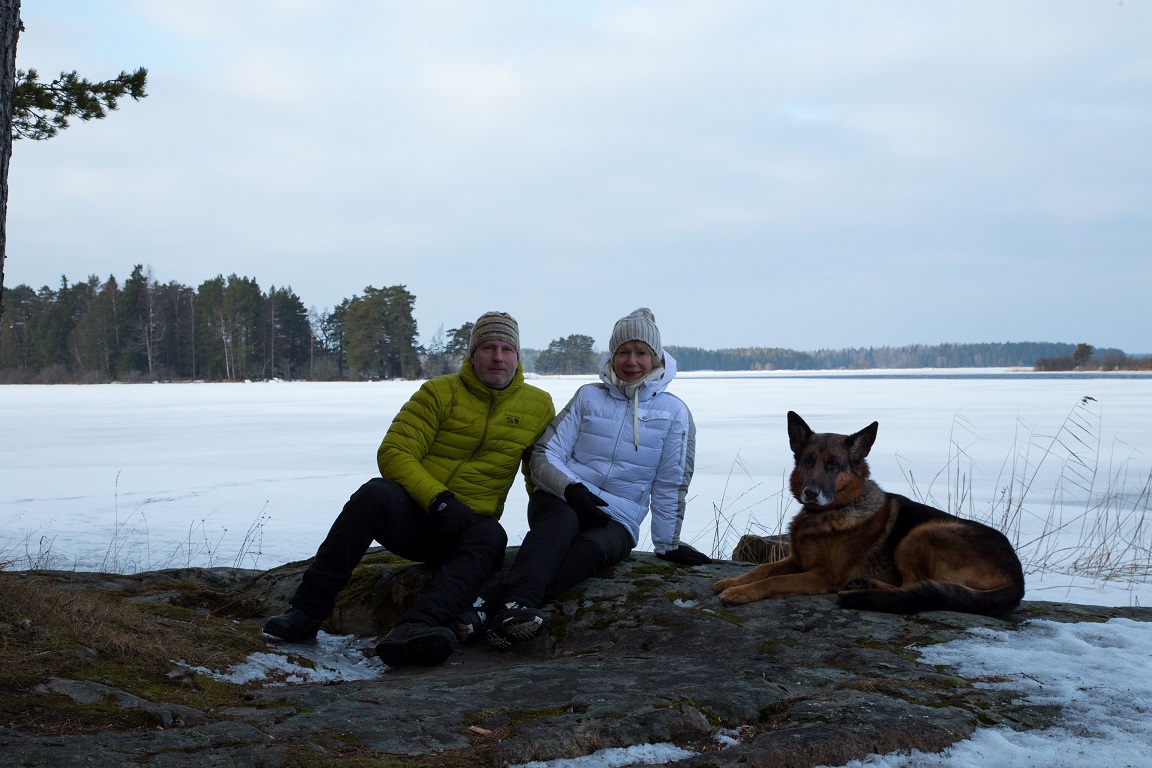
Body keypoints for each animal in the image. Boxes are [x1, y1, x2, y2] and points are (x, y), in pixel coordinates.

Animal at [709, 412, 1027, 617]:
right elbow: (762, 570)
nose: (810, 492)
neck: (833, 510)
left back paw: (866, 589)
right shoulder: (796, 561)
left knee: (914, 587)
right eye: (808, 461)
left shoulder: (822, 575)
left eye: (833, 464)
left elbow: (774, 581)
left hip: (923, 533)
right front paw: (733, 581)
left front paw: (740, 592)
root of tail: (1017, 580)